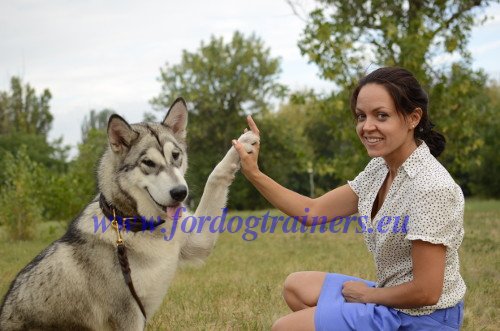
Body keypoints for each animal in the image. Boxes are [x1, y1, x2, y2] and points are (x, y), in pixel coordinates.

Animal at [0, 98, 258, 331]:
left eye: (176, 156)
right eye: (148, 162)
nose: (180, 193)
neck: (139, 226)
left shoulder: (199, 240)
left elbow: (215, 177)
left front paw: (242, 144)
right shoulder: (129, 315)